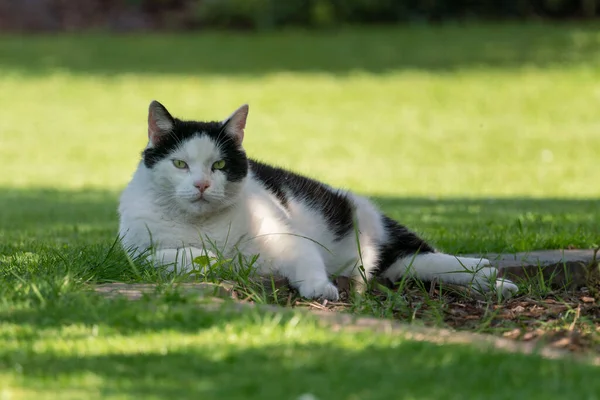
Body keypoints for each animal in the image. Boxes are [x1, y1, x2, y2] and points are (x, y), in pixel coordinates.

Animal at [117, 101, 516, 302]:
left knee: (429, 252)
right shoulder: (136, 252)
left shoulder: (283, 236)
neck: (203, 224)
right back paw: (491, 281)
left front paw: (318, 288)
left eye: (219, 165)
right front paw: (216, 261)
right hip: (398, 267)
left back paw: (487, 273)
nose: (201, 184)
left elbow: (305, 258)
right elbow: (183, 256)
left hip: (372, 221)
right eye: (179, 164)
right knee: (418, 262)